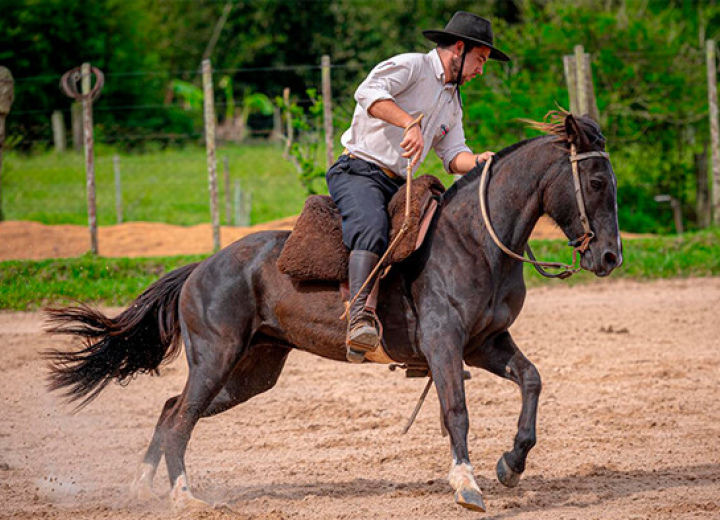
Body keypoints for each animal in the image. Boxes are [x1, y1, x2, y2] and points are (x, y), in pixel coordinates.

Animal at [45, 114, 620, 512]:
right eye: (596, 184)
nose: (610, 257)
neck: (474, 240)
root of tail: (200, 268)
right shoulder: (445, 344)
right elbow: (456, 411)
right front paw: (467, 484)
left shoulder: (486, 344)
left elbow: (532, 380)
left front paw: (511, 464)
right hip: (216, 359)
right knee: (182, 416)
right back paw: (184, 497)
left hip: (251, 371)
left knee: (170, 411)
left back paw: (141, 487)